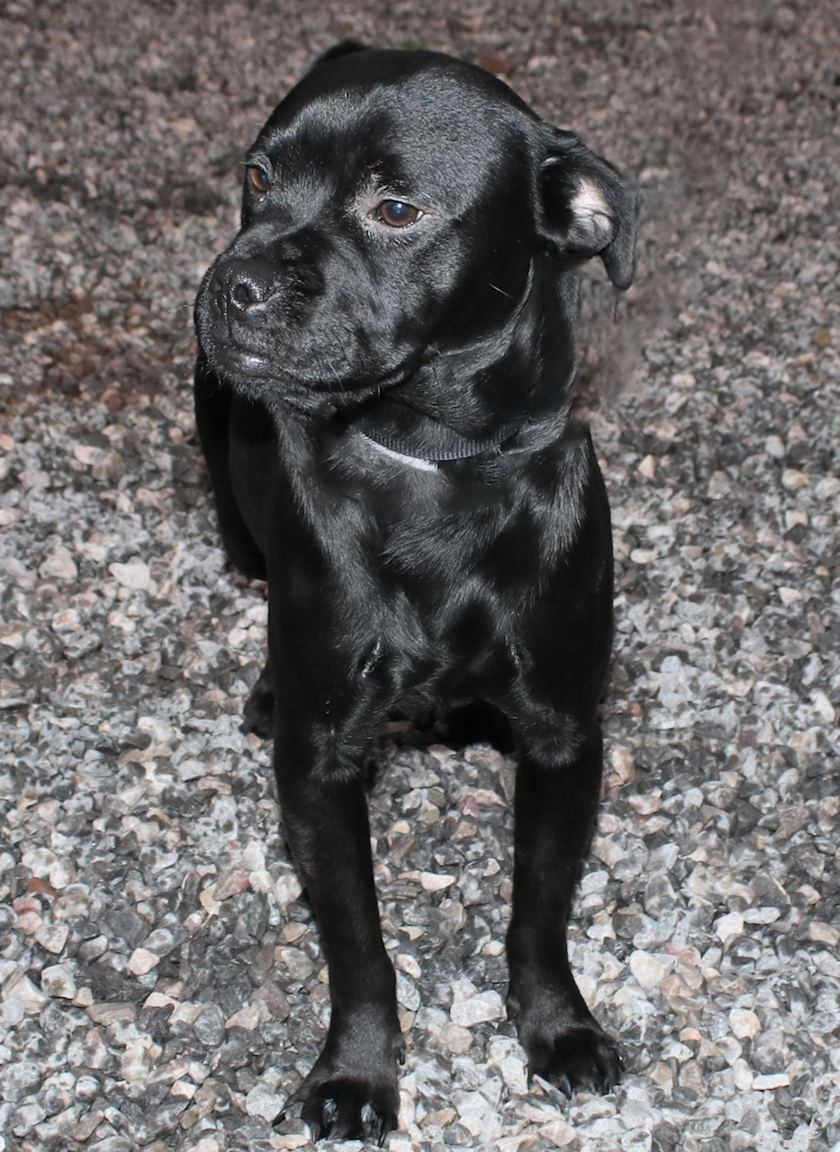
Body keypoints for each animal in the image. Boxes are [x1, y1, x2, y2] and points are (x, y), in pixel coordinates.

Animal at [194, 42, 636, 1142]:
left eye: (394, 208)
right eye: (258, 175)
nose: (234, 281)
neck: (435, 467)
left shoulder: (565, 739)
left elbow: (539, 912)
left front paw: (557, 1027)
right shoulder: (320, 768)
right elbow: (359, 947)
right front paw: (357, 1075)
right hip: (231, 513)